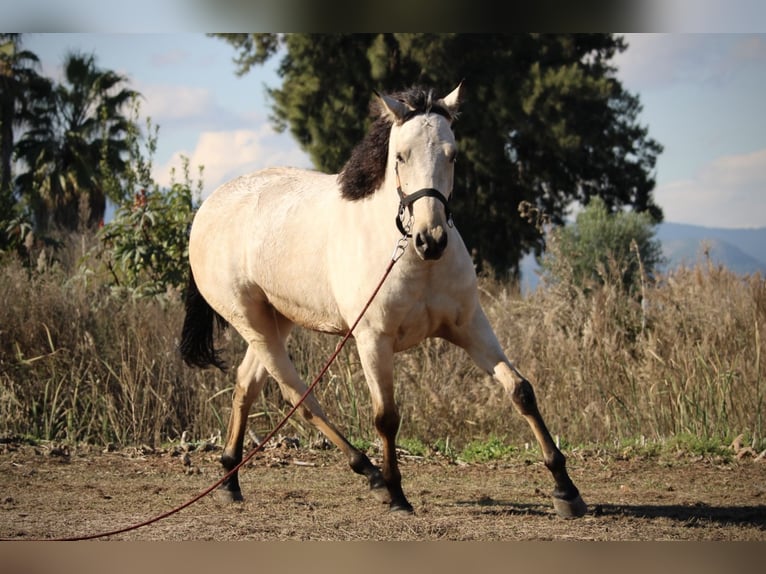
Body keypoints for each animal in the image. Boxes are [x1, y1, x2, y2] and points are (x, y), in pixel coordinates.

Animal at [180, 83, 588, 520]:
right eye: (401, 156)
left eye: (453, 154)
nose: (431, 239)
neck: (412, 259)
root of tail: (208, 208)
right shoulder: (373, 340)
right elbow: (386, 417)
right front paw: (396, 493)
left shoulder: (470, 326)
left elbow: (520, 390)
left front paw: (567, 490)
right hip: (251, 322)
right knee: (298, 397)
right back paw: (371, 475)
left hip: (277, 319)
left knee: (246, 385)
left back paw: (230, 479)